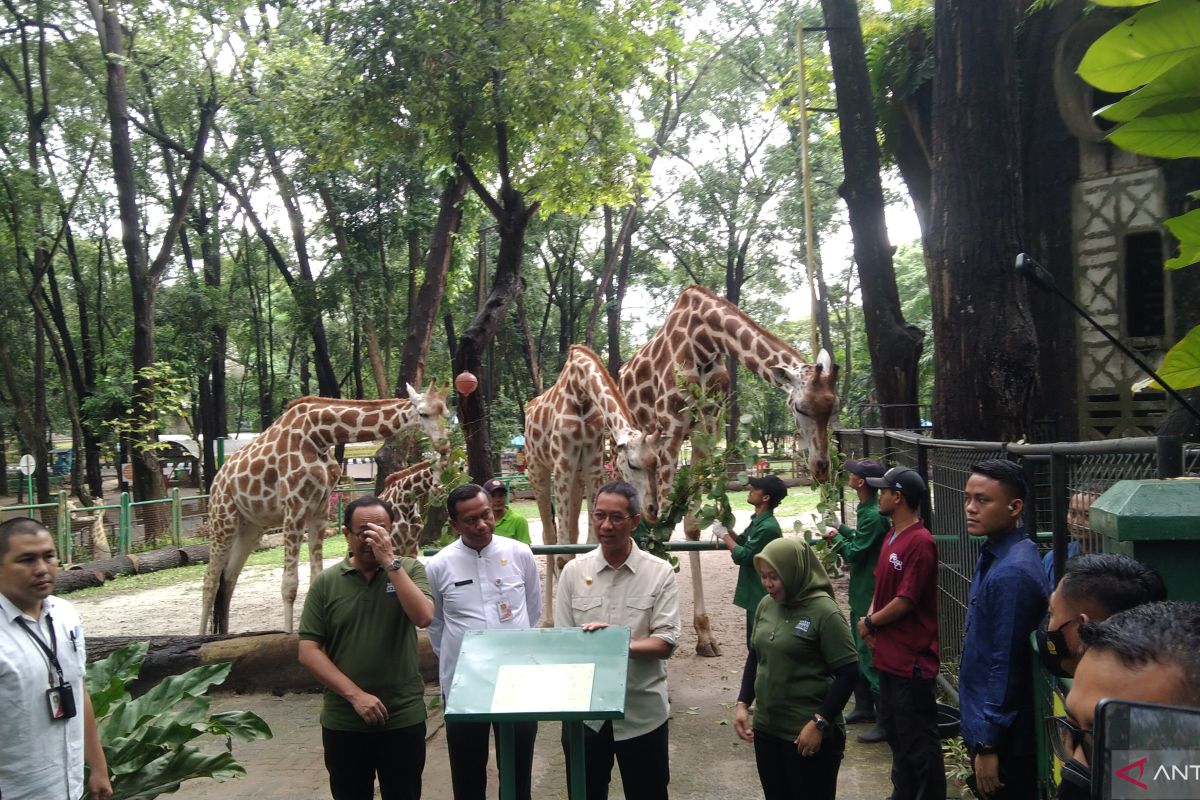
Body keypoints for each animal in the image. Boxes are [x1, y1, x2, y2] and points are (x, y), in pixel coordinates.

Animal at [199, 383, 448, 633]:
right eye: (423, 413)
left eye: (445, 411)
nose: (443, 443)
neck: (320, 435)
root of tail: (217, 480)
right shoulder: (295, 507)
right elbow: (289, 585)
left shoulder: (319, 509)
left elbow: (316, 577)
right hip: (223, 518)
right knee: (210, 581)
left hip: (251, 527)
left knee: (229, 578)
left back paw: (223, 635)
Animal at [528, 345, 667, 623]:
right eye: (633, 464)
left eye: (656, 463)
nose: (653, 510)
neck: (579, 390)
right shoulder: (563, 464)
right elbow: (563, 554)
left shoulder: (591, 464)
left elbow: (587, 544)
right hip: (538, 469)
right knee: (549, 538)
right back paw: (547, 620)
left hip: (577, 478)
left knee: (571, 533)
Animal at [619, 287, 844, 657]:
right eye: (800, 407)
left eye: (835, 405)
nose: (821, 467)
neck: (704, 339)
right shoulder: (669, 426)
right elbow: (659, 520)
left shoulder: (708, 424)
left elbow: (691, 523)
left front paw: (704, 635)